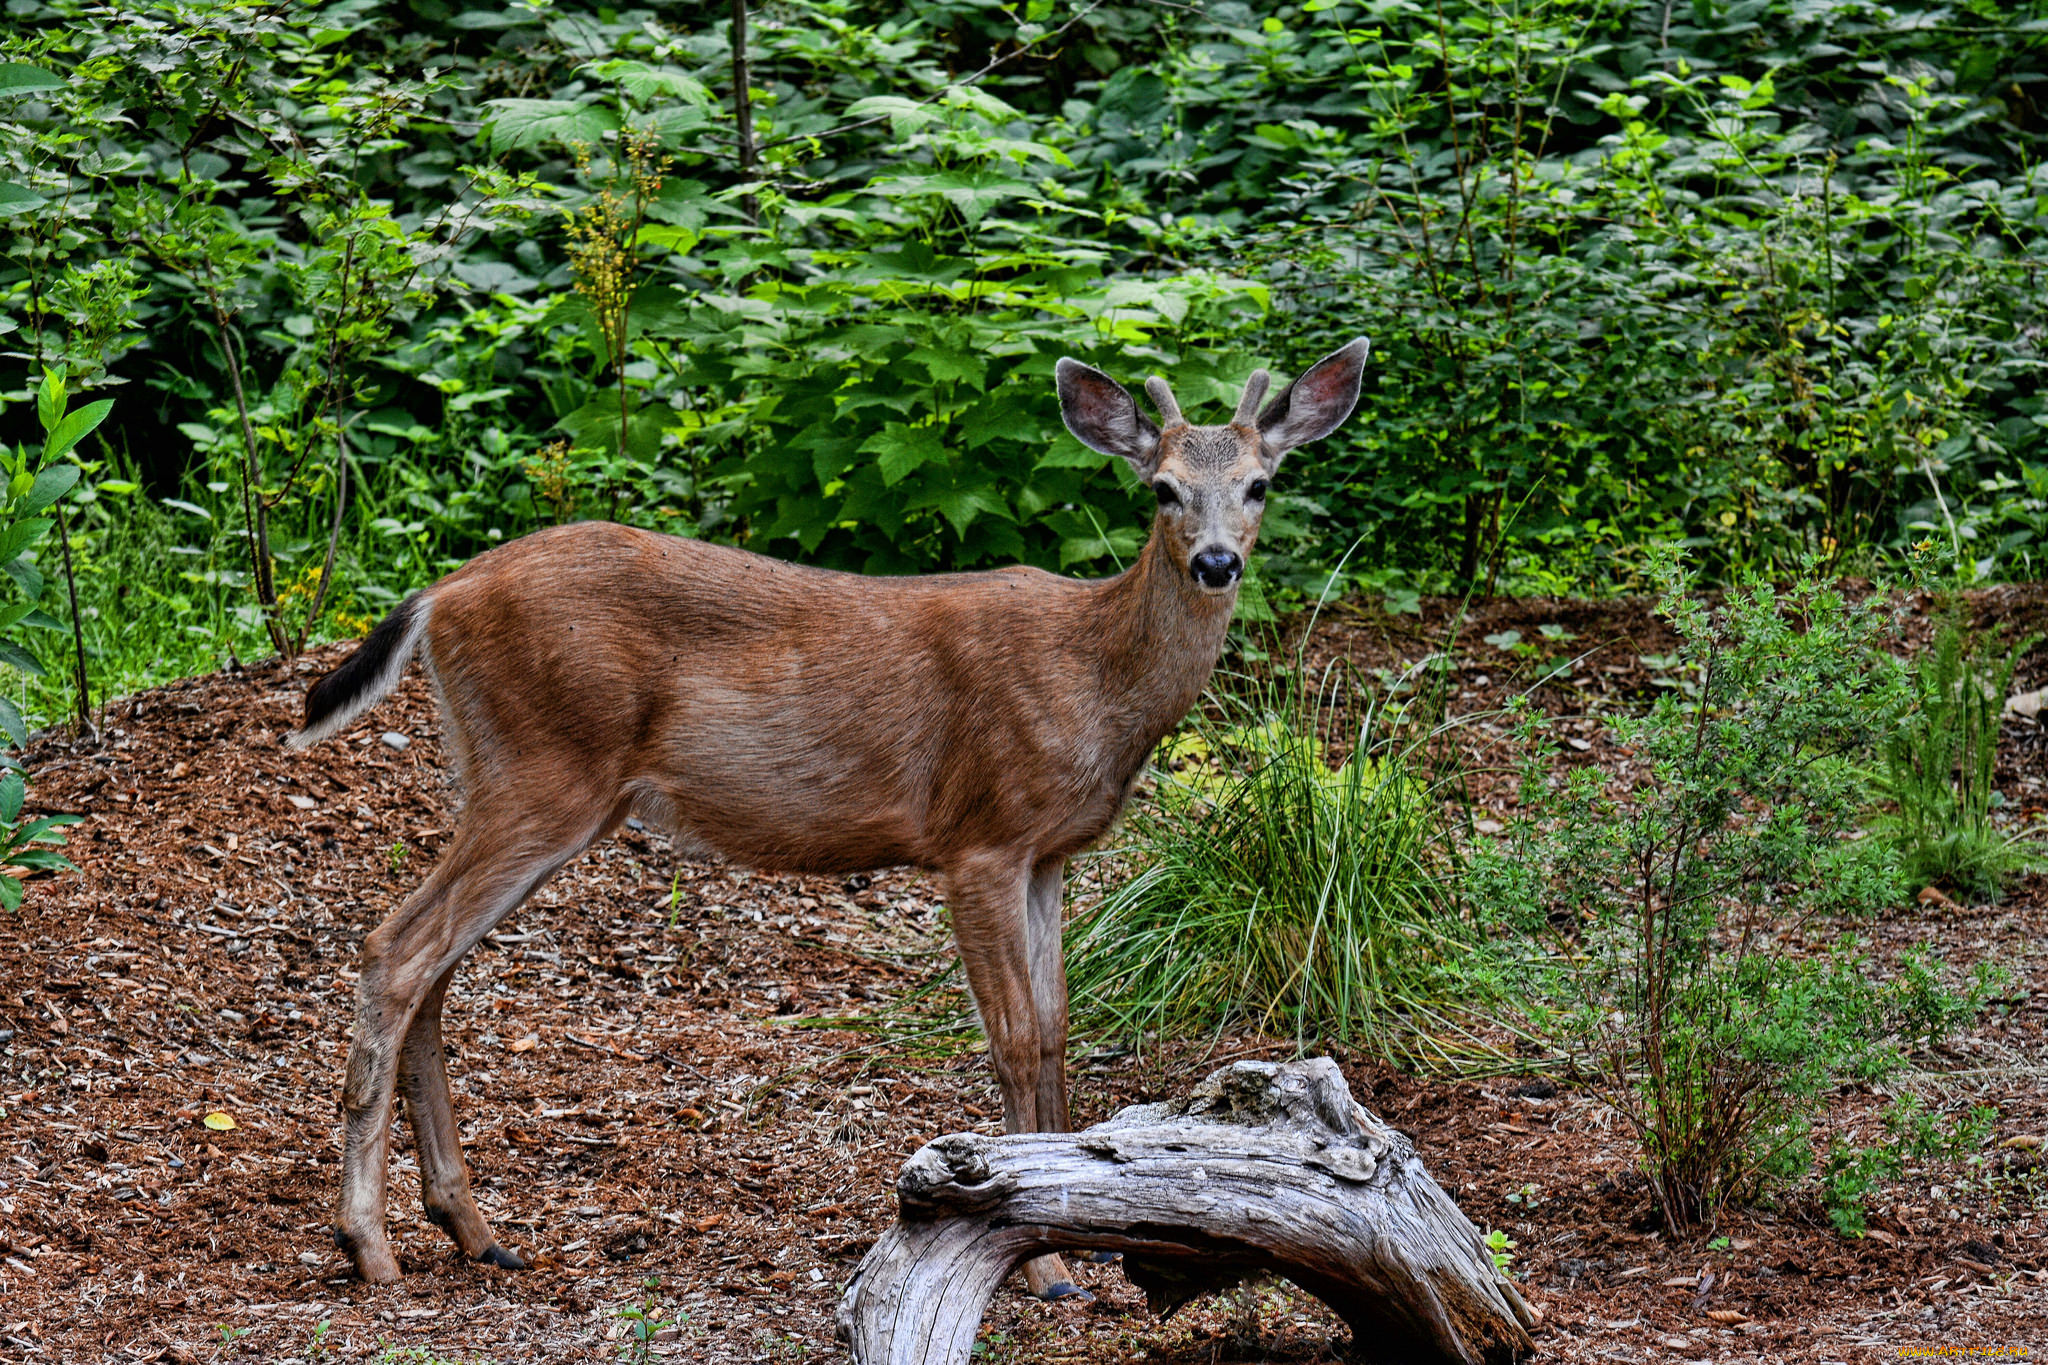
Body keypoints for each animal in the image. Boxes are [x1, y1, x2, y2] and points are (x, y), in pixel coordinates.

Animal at [284, 339, 1376, 1301]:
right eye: (1161, 491)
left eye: (1260, 484)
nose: (1216, 562)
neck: (1094, 677)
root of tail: (442, 593)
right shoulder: (978, 835)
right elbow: (1012, 1035)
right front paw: (1044, 1265)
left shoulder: (1049, 853)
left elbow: (1059, 1028)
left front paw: (1092, 1235)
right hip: (543, 770)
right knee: (396, 948)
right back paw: (368, 1243)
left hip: (507, 774)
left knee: (433, 966)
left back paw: (471, 1230)